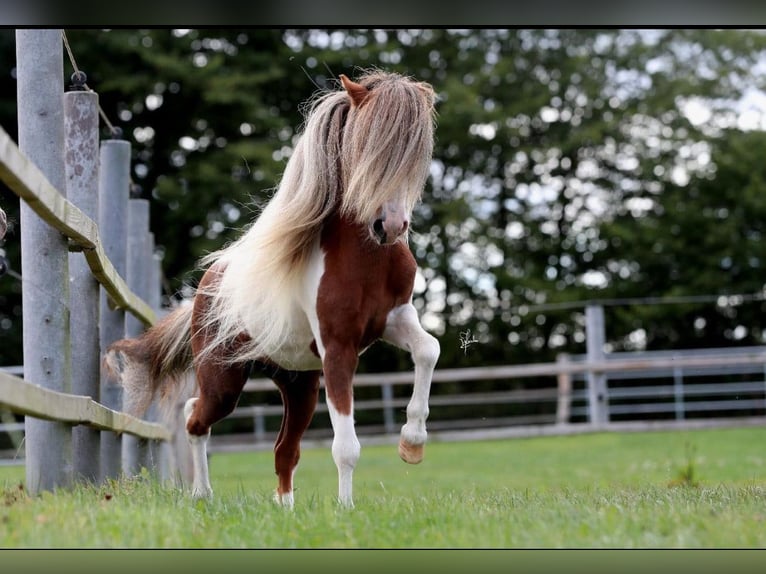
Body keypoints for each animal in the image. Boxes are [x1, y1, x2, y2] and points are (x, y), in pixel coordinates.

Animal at [103, 70, 440, 508]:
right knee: (195, 416)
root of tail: (205, 290)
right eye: (366, 144)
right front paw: (346, 510)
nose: (390, 226)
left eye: (416, 153)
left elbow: (429, 349)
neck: (366, 258)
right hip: (224, 381)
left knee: (284, 449)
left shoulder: (394, 319)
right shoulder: (338, 348)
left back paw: (284, 508)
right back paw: (201, 495)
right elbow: (346, 446)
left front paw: (412, 444)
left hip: (298, 385)